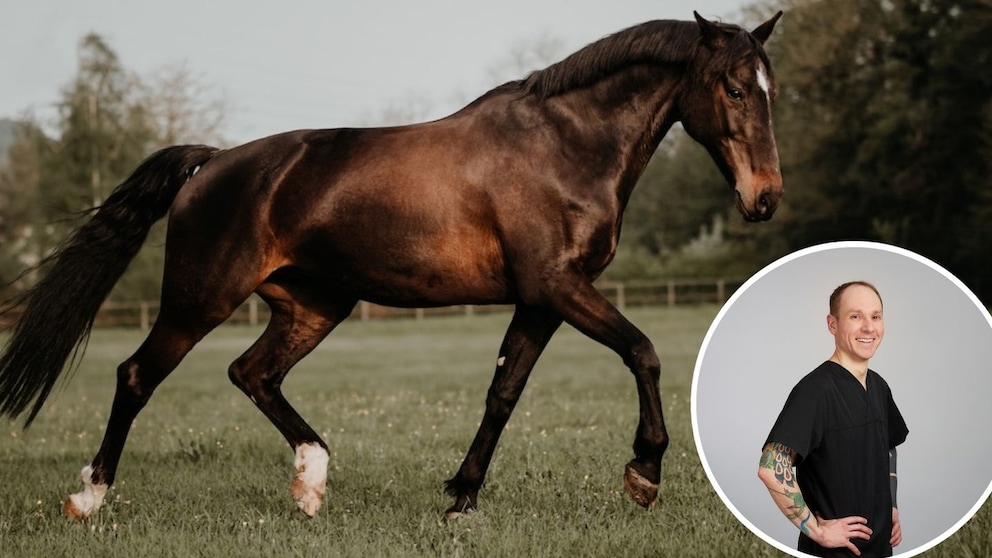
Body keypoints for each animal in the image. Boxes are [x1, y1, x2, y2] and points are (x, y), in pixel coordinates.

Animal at [0, 11, 783, 520]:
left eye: (771, 87)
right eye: (734, 88)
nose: (765, 197)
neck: (562, 146)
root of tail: (213, 161)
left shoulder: (540, 299)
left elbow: (503, 392)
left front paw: (461, 496)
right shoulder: (559, 286)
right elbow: (643, 351)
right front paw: (644, 473)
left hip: (314, 306)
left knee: (253, 374)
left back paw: (312, 484)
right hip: (200, 300)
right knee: (137, 375)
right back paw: (88, 497)